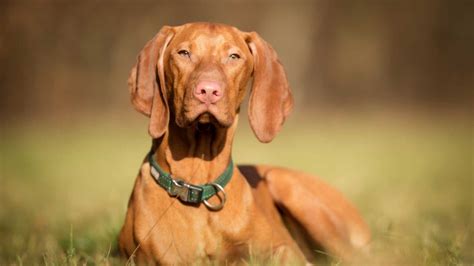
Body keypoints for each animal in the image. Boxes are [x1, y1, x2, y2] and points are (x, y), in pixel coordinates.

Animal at [118, 22, 370, 264]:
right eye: (184, 53)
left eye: (233, 56)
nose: (208, 91)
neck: (199, 185)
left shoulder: (286, 251)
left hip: (288, 186)